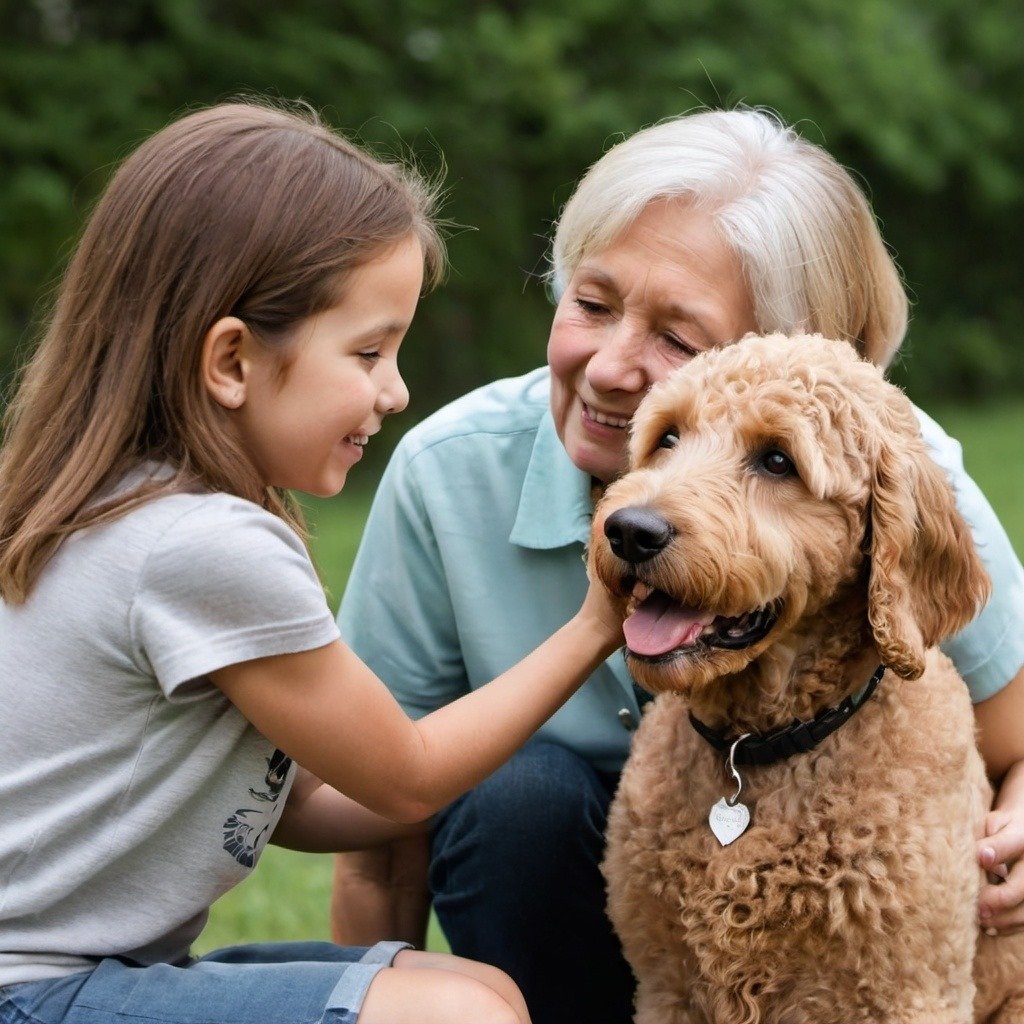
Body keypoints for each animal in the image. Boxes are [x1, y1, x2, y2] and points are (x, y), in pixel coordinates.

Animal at [589, 335, 1024, 1024]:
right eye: (667, 438)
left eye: (777, 461)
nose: (630, 531)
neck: (759, 750)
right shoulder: (664, 988)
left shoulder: (909, 992)